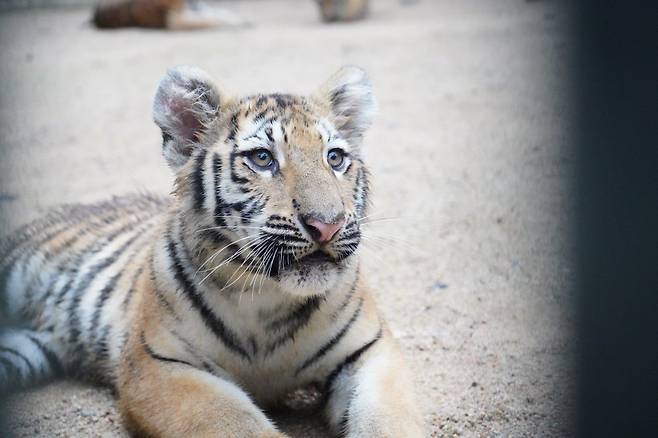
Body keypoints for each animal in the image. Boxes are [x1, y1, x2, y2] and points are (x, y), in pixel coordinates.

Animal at [0, 66, 420, 438]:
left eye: (334, 158)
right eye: (263, 158)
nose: (327, 224)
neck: (267, 296)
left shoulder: (371, 352)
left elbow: (387, 421)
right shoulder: (158, 365)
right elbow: (236, 423)